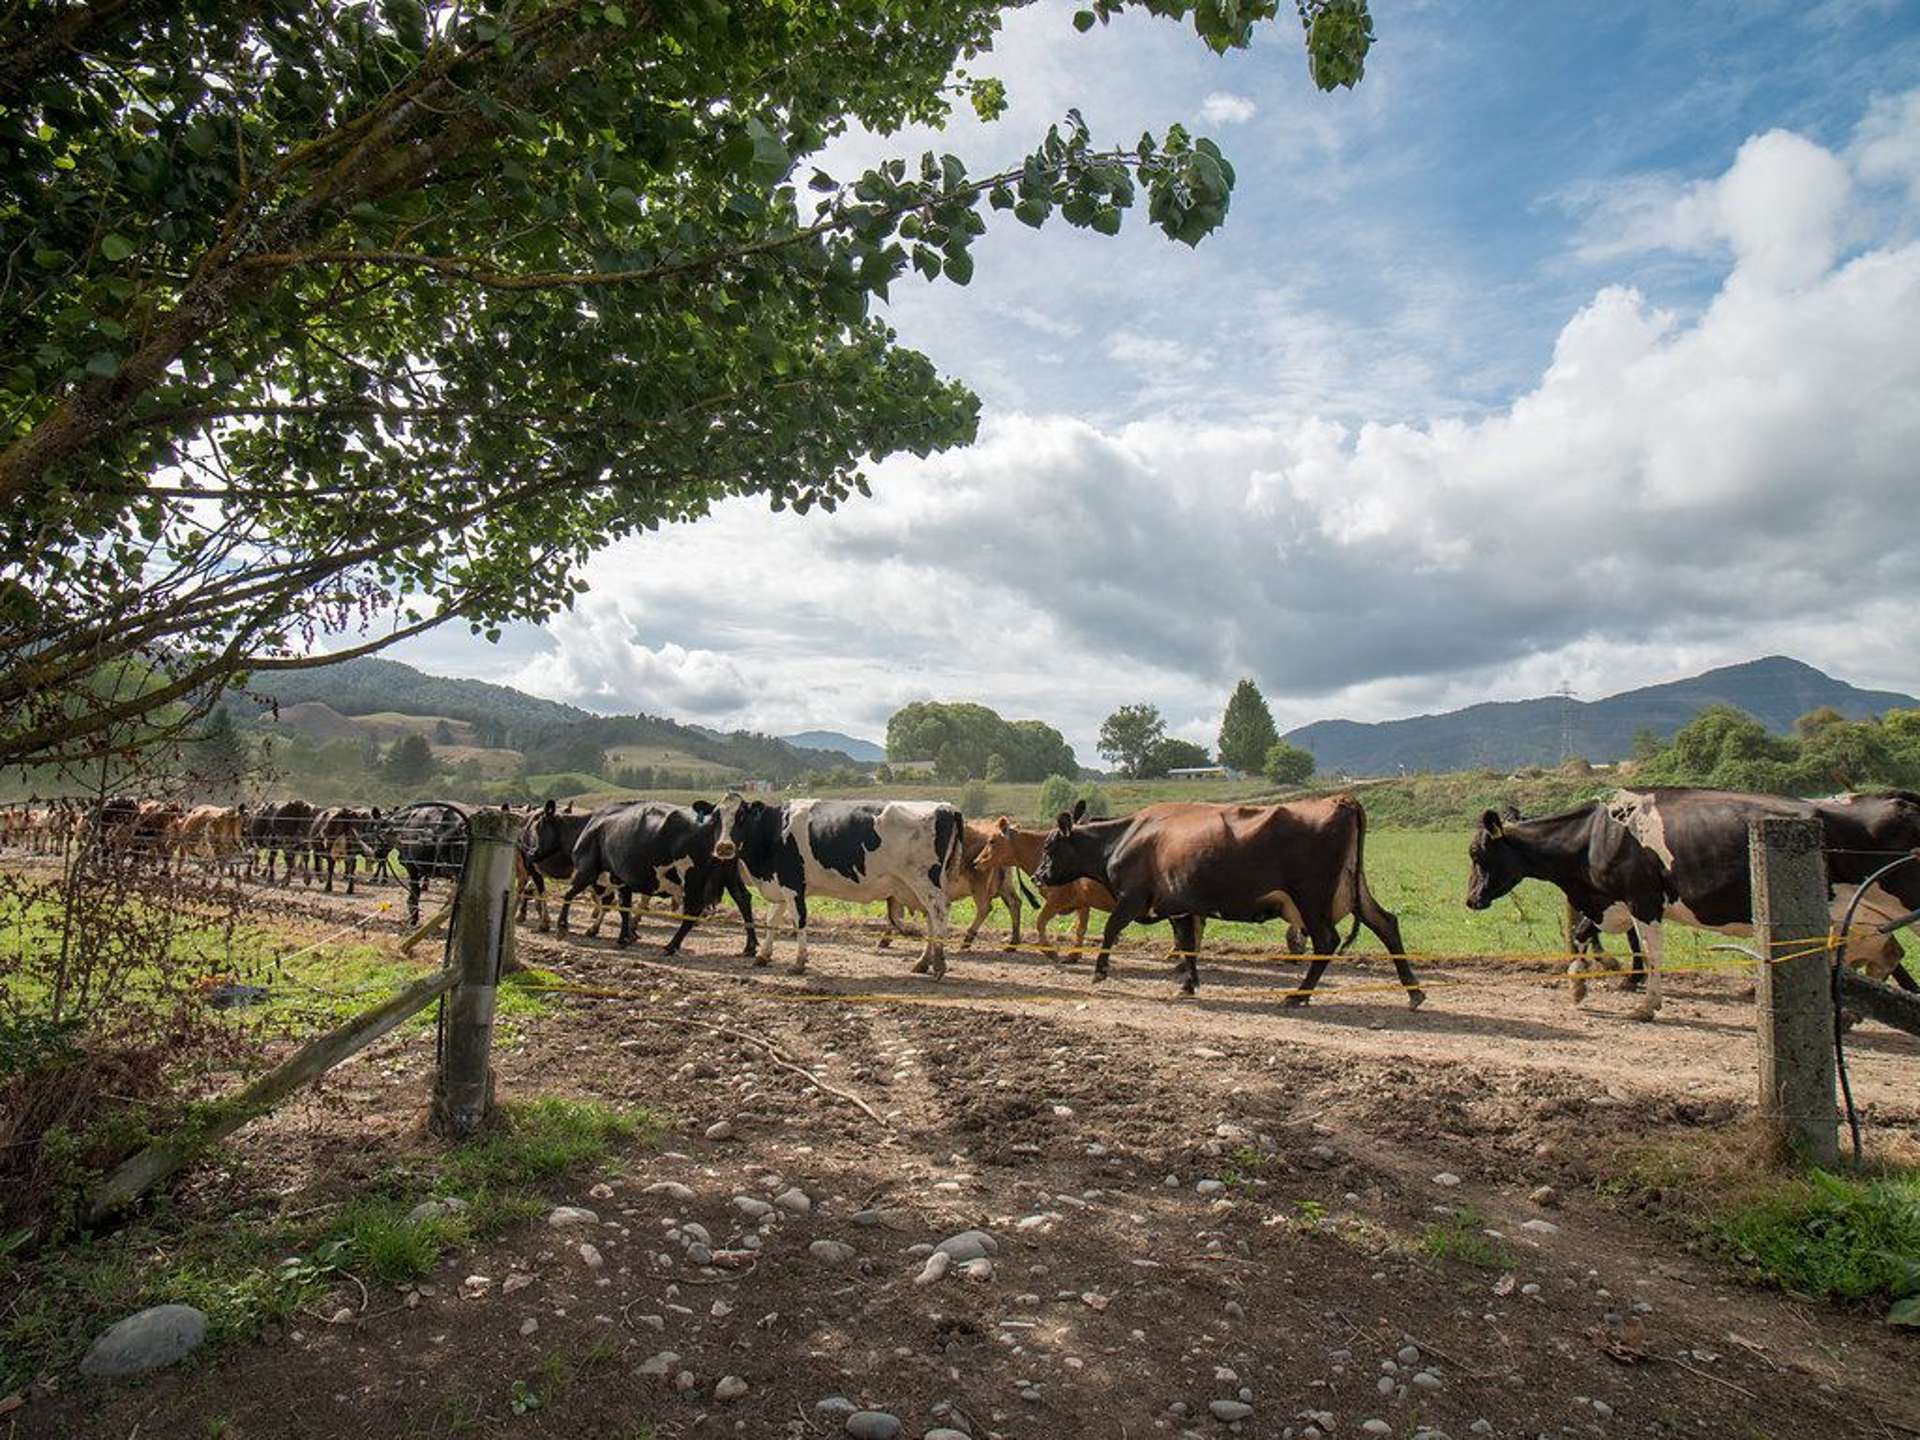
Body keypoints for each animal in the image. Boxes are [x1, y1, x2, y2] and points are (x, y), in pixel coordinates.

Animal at [552, 802, 752, 960]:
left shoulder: (586, 868)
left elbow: (569, 894)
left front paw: (562, 926)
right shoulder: (622, 879)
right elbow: (624, 908)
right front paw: (624, 937)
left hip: (693, 877)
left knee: (694, 910)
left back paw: (671, 946)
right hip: (729, 874)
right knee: (743, 899)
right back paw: (750, 947)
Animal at [710, 794, 967, 990]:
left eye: (741, 817)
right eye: (715, 818)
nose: (724, 847)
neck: (775, 829)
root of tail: (946, 807)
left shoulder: (793, 883)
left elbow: (798, 921)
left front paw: (799, 962)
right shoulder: (779, 883)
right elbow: (772, 919)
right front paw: (763, 955)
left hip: (924, 880)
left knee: (940, 912)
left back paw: (939, 965)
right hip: (919, 885)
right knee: (932, 918)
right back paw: (924, 962)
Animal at [1029, 802, 1420, 1006]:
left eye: (1049, 845)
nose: (1036, 876)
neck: (1124, 838)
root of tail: (1341, 801)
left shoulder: (1133, 898)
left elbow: (1111, 930)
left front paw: (1099, 971)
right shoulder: (1179, 906)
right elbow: (1187, 945)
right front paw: (1189, 983)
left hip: (1311, 897)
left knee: (1327, 941)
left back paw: (1299, 994)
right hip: (1354, 892)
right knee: (1386, 924)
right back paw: (1413, 991)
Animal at [1466, 794, 1920, 1021]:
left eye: (1476, 853)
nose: (1470, 899)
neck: (1592, 838)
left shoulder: (1642, 898)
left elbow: (1650, 952)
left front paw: (1646, 1004)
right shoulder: (1609, 900)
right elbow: (1582, 935)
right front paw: (1580, 984)